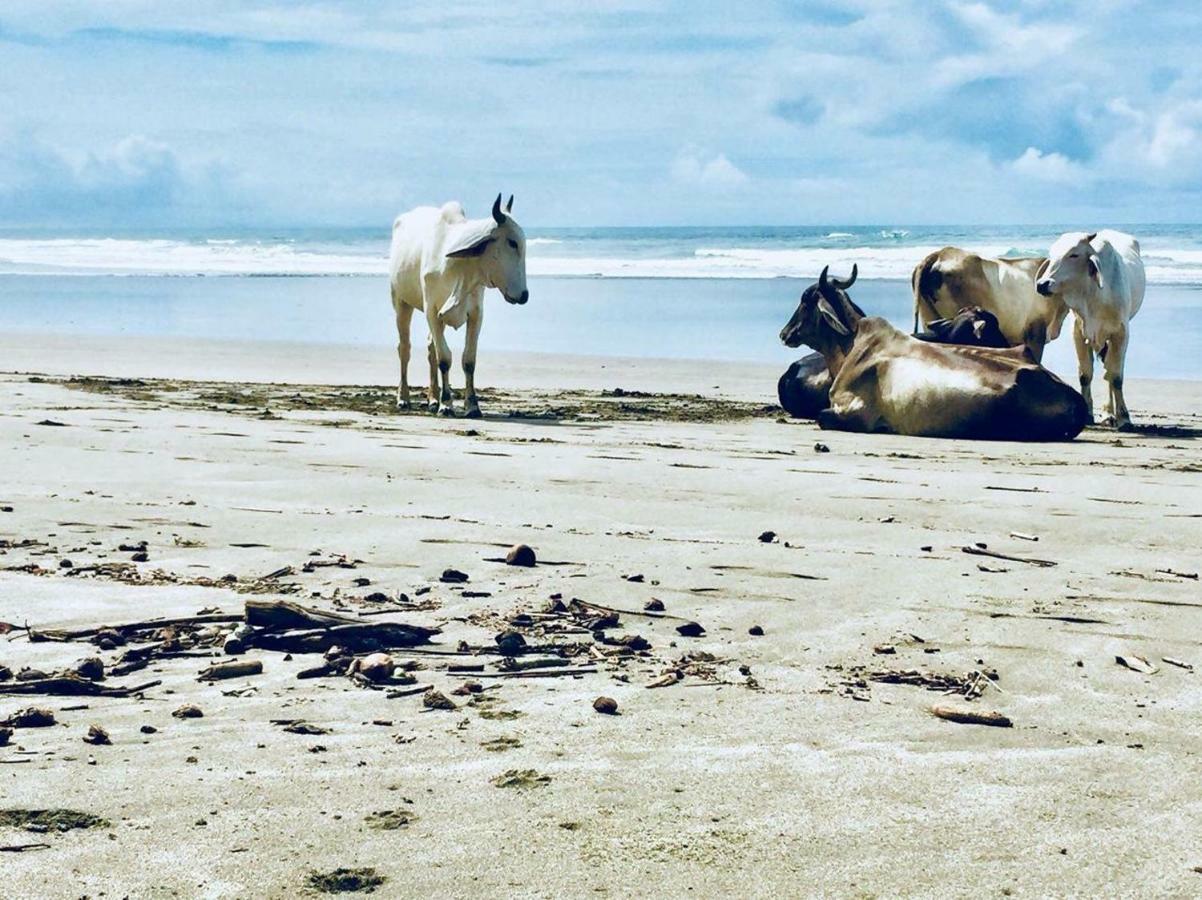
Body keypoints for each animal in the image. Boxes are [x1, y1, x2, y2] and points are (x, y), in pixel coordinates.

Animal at [391, 193, 528, 418]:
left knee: (430, 348)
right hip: (400, 302)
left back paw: (432, 399)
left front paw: (472, 406)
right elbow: (444, 359)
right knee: (404, 348)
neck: (462, 271)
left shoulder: (476, 314)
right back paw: (404, 398)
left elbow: (468, 360)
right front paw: (446, 404)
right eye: (512, 242)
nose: (524, 295)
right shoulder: (431, 311)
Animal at [774, 265, 1096, 439]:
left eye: (805, 300)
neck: (852, 346)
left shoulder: (853, 414)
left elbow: (822, 417)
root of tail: (1075, 400)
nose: (784, 333)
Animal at [1033, 229, 1144, 430]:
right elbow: (1085, 375)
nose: (1042, 284)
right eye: (1052, 253)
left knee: (1110, 372)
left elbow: (1116, 377)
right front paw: (1087, 415)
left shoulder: (1121, 334)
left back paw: (1111, 414)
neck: (1092, 295)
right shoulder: (1078, 332)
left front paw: (1124, 418)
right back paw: (1108, 414)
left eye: (1074, 254)